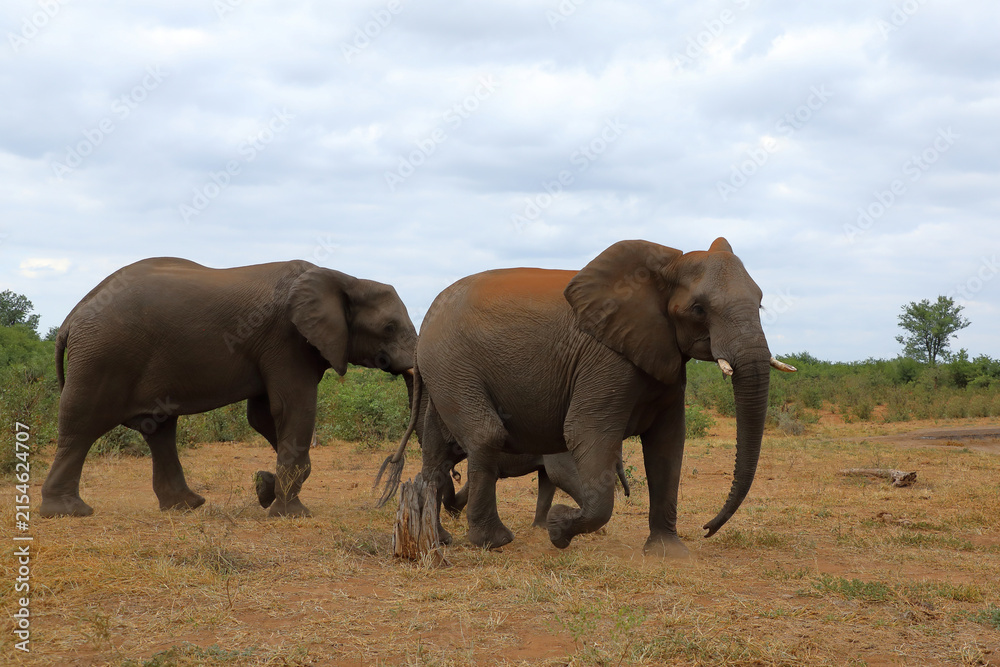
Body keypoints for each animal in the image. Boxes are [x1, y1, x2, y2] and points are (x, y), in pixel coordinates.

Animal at [40, 257, 416, 519]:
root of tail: (72, 316)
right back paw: (68, 512)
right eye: (389, 327)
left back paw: (186, 506)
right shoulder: (286, 340)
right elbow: (293, 407)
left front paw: (264, 488)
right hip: (104, 355)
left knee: (158, 429)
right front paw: (291, 514)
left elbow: (263, 416)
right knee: (82, 424)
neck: (344, 277)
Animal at [377, 238, 795, 555]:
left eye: (760, 303)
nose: (708, 528)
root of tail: (426, 319)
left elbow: (667, 445)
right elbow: (586, 433)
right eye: (698, 309)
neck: (664, 266)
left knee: (437, 452)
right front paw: (558, 529)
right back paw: (493, 542)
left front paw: (669, 553)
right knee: (485, 436)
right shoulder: (605, 359)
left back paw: (442, 540)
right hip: (453, 363)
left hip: (442, 373)